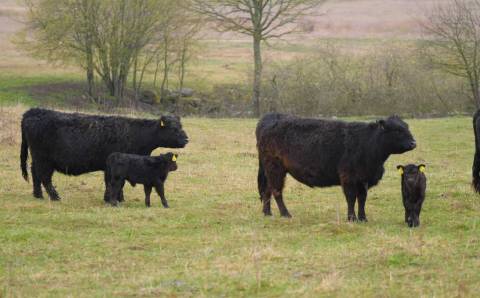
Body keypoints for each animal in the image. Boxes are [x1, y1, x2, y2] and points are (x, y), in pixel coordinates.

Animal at [20, 108, 189, 201]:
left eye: (181, 126)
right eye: (174, 128)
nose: (186, 139)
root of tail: (34, 111)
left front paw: (118, 198)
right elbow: (114, 183)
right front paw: (111, 199)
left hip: (38, 158)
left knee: (35, 173)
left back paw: (38, 195)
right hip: (44, 159)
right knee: (44, 177)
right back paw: (55, 197)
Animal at [255, 113, 416, 221]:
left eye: (407, 127)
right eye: (397, 130)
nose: (414, 143)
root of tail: (271, 116)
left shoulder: (364, 179)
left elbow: (362, 198)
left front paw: (363, 218)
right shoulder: (348, 177)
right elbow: (351, 198)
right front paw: (352, 218)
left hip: (270, 170)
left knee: (267, 190)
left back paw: (267, 213)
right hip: (275, 168)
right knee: (276, 191)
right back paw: (285, 214)